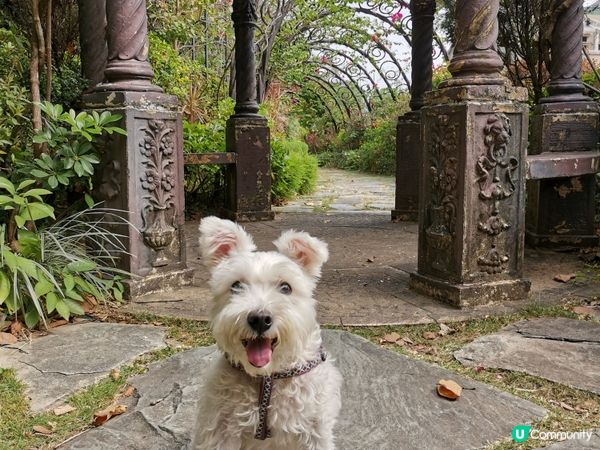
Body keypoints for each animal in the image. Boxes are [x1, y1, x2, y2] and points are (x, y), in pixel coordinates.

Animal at [192, 216, 342, 448]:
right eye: (236, 285)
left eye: (286, 287)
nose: (260, 319)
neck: (267, 377)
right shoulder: (220, 429)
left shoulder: (315, 430)